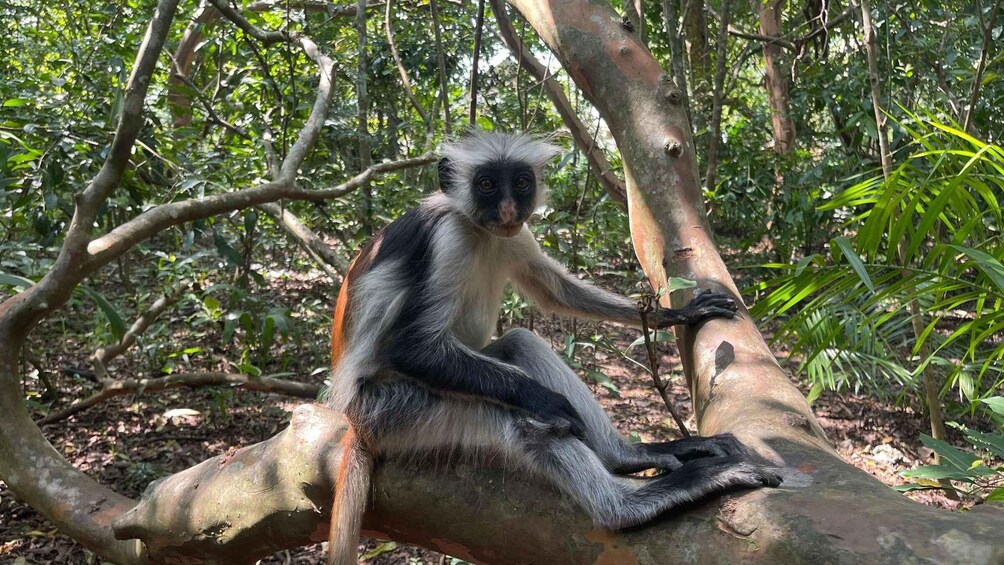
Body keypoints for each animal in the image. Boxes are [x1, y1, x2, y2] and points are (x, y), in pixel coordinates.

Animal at [326, 132, 781, 564]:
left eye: (521, 183)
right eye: (487, 185)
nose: (509, 210)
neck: (478, 230)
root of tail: (352, 417)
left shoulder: (514, 236)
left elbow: (555, 290)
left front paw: (674, 315)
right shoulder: (446, 239)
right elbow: (412, 347)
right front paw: (550, 402)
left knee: (520, 342)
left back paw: (628, 456)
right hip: (395, 411)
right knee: (521, 422)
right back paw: (630, 502)